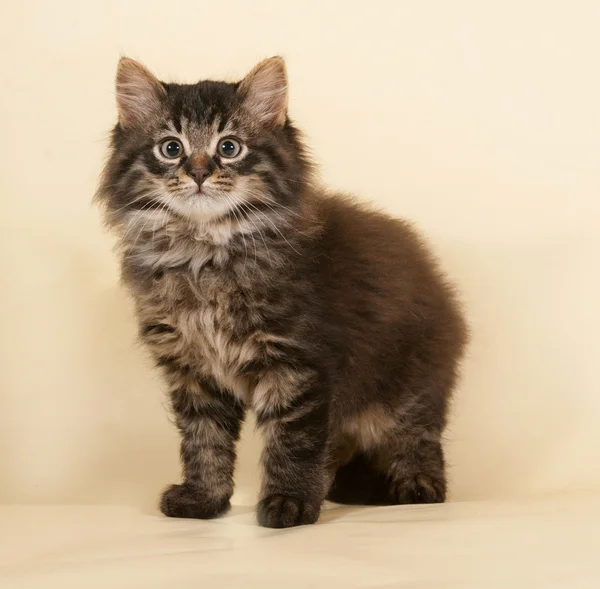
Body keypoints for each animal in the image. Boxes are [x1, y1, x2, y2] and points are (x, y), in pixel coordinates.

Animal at [96, 56, 468, 528]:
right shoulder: (194, 371)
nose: (198, 172)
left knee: (417, 438)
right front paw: (204, 499)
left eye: (229, 147)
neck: (204, 253)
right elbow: (204, 441)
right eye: (171, 149)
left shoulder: (297, 363)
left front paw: (289, 503)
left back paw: (417, 487)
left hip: (409, 383)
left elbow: (294, 440)